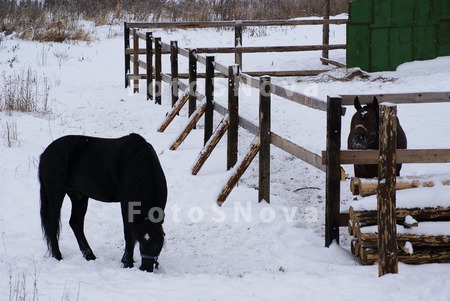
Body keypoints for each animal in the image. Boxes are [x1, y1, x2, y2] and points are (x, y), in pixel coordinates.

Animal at [38, 132, 168, 270]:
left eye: (159, 242)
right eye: (141, 242)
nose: (146, 268)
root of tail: (45, 153)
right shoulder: (126, 204)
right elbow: (128, 232)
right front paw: (127, 262)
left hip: (79, 196)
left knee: (76, 223)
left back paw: (89, 255)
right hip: (56, 194)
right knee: (52, 222)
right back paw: (58, 256)